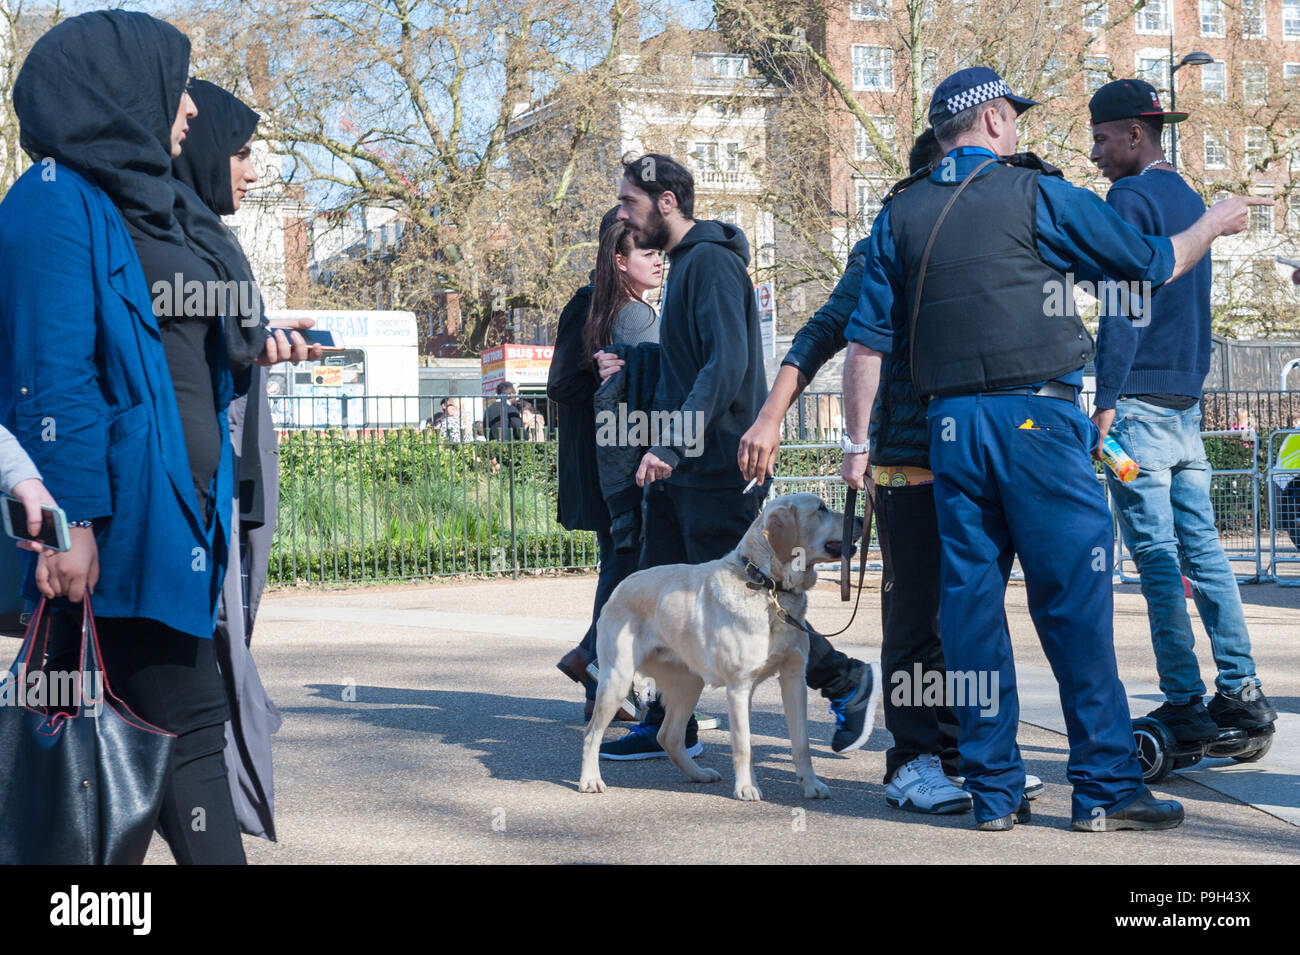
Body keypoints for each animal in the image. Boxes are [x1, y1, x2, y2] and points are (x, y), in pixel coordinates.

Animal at [579, 493, 863, 800]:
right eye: (822, 509)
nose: (861, 519)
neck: (768, 587)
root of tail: (621, 584)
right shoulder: (740, 687)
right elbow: (743, 744)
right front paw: (747, 787)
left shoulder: (794, 679)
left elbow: (802, 743)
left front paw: (811, 785)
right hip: (617, 680)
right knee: (592, 734)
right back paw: (590, 780)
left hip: (689, 685)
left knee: (668, 736)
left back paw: (698, 774)